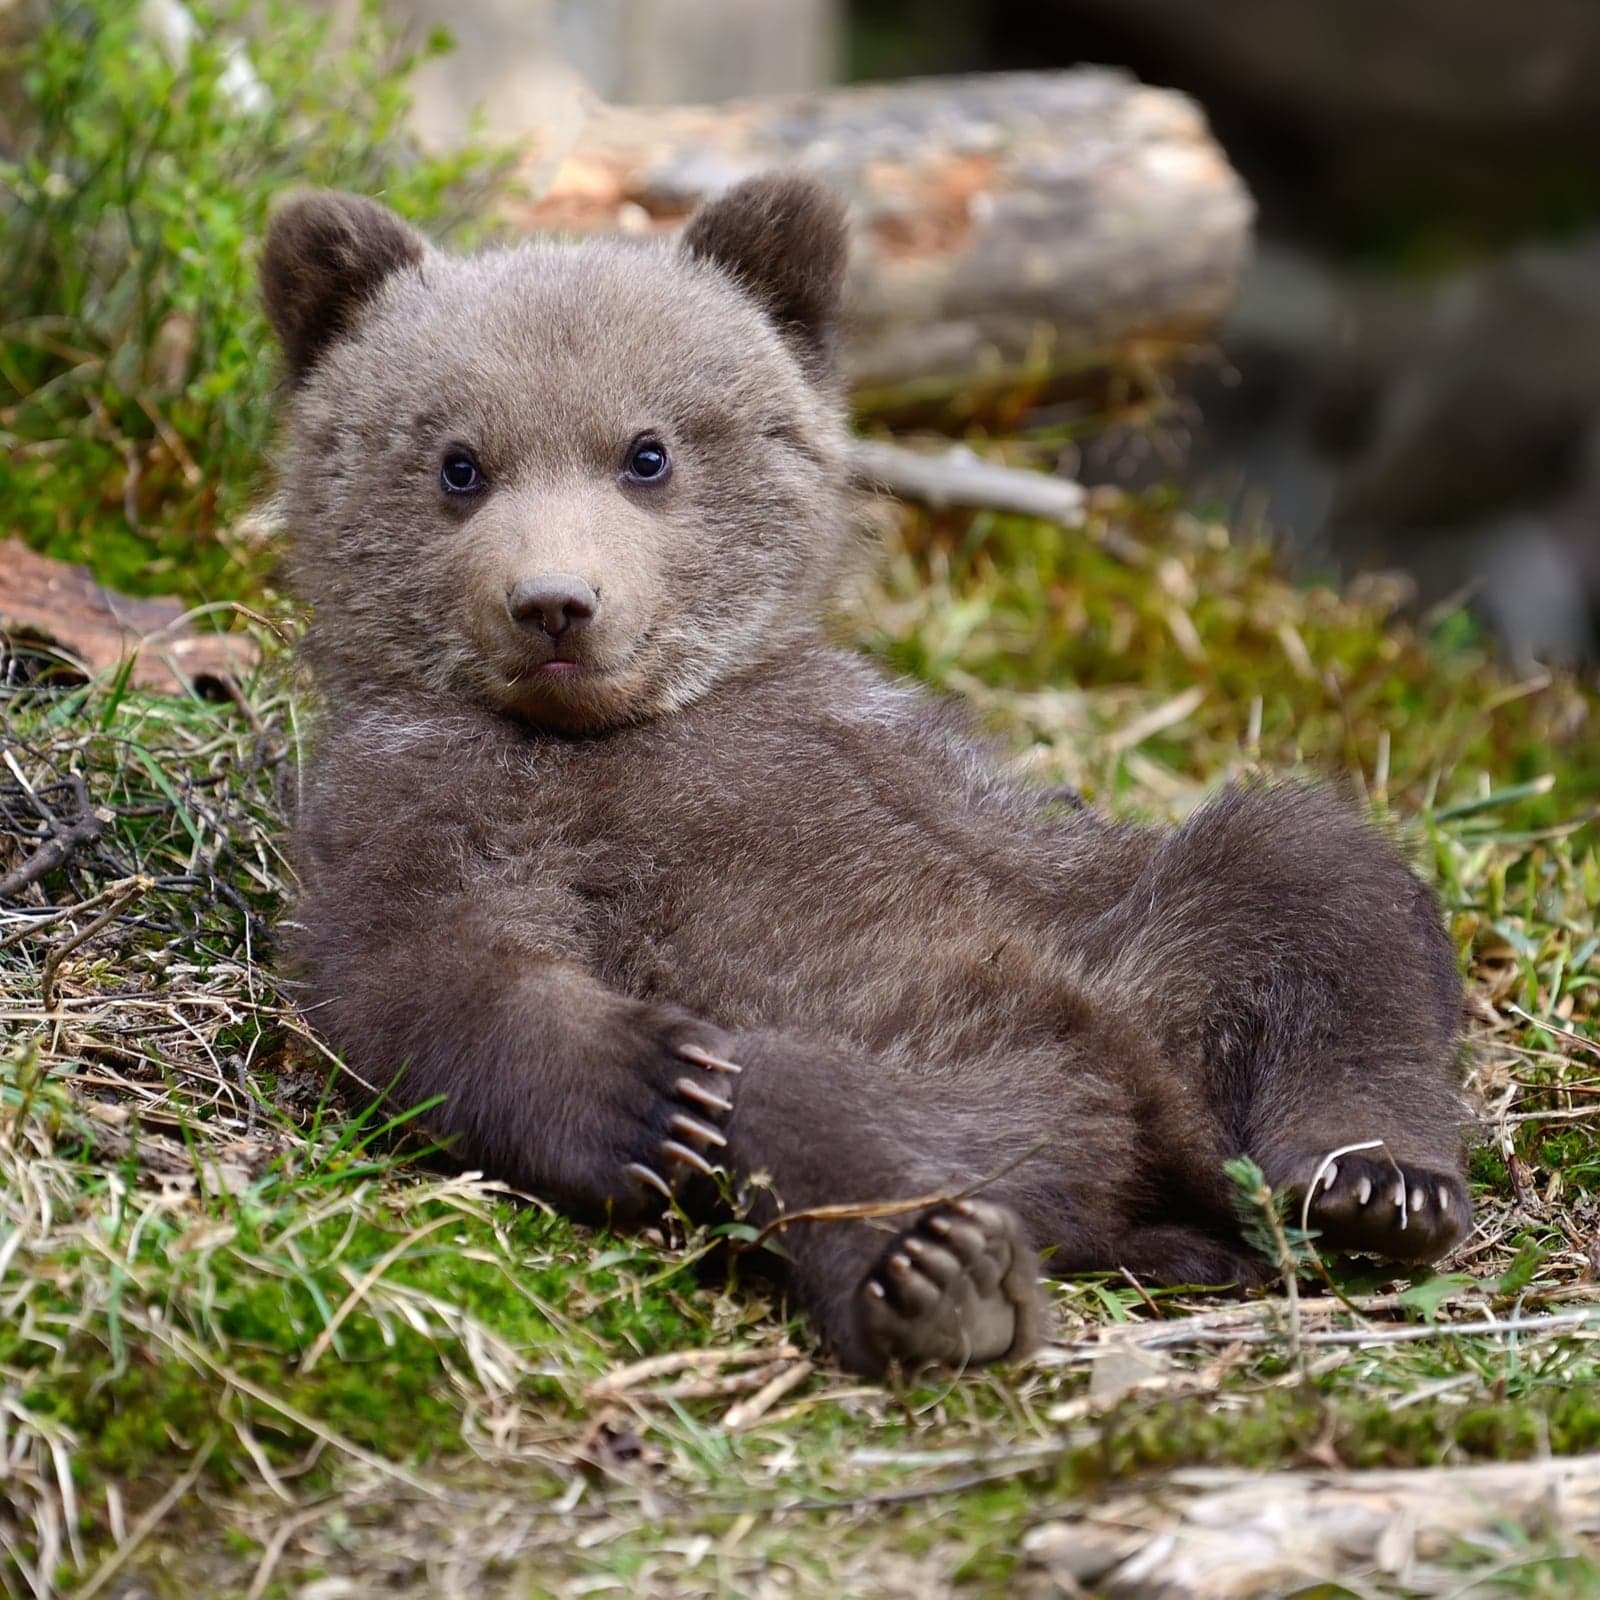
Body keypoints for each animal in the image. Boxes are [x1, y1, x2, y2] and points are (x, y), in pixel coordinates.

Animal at [260, 175, 1471, 1376]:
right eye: (458, 464)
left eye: (647, 452)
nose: (555, 602)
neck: (608, 730)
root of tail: (1158, 1138)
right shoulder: (422, 799)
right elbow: (426, 973)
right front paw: (643, 1088)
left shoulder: (881, 746)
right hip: (914, 1065)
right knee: (802, 1105)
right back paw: (941, 1271)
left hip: (1143, 959)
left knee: (1309, 880)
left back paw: (1378, 1182)